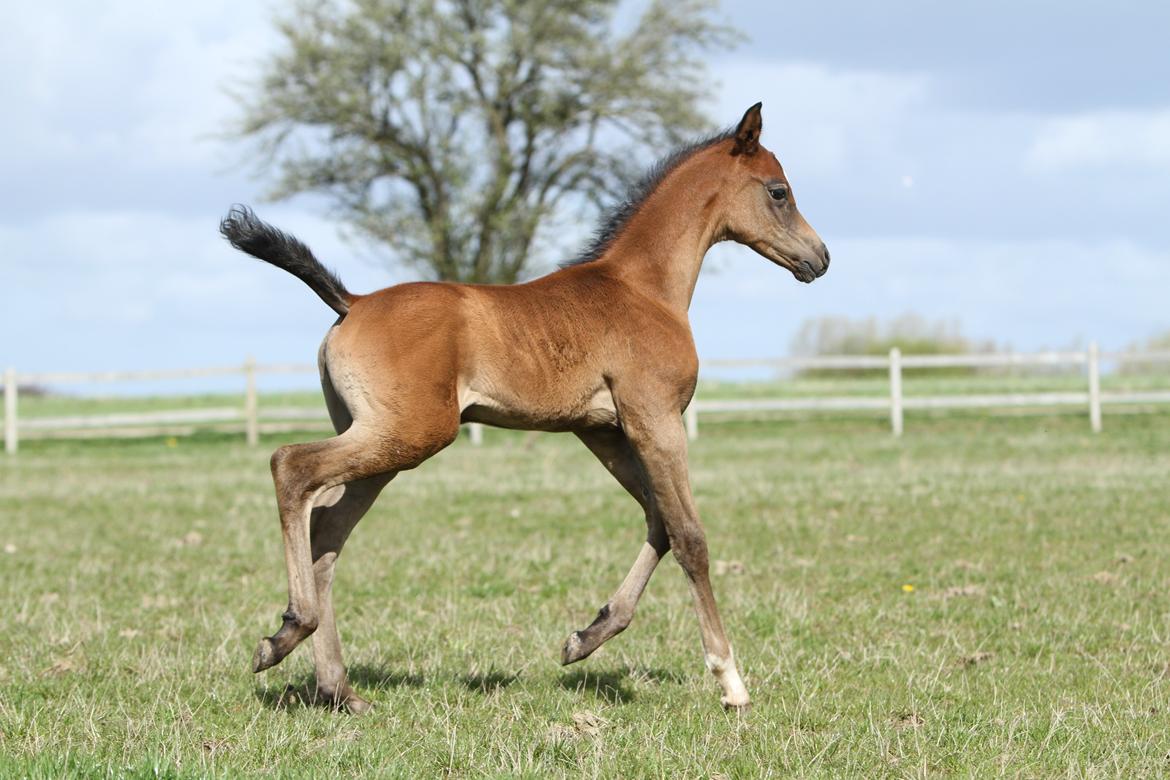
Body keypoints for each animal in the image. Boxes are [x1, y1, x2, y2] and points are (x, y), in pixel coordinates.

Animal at [219, 102, 823, 715]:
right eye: (778, 191)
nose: (818, 258)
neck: (644, 289)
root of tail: (353, 302)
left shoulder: (604, 432)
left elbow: (658, 521)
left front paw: (586, 637)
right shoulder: (655, 419)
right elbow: (689, 535)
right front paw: (730, 681)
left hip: (379, 442)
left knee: (327, 530)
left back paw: (337, 688)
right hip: (410, 433)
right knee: (291, 468)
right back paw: (287, 633)